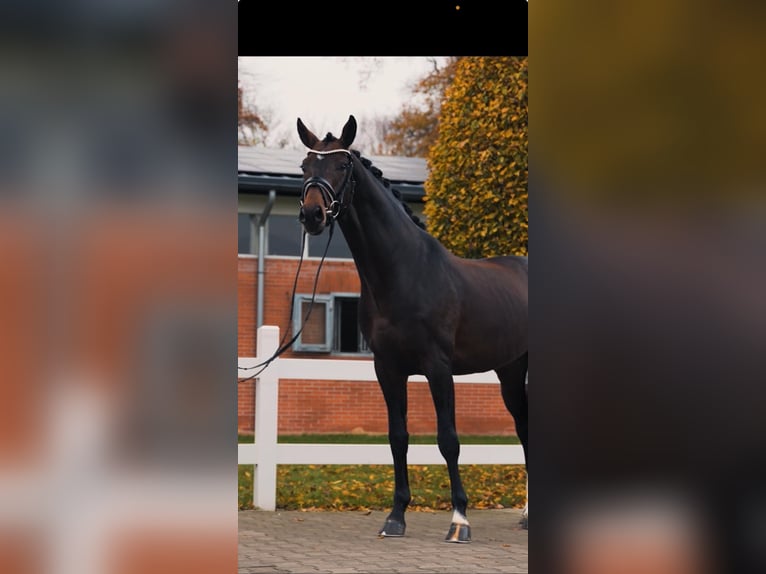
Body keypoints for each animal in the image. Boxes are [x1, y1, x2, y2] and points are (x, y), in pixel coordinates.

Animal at [296, 115, 528, 542]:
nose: (313, 216)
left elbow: (448, 440)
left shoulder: (438, 368)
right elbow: (397, 437)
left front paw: (459, 520)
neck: (404, 273)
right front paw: (396, 516)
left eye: (342, 165)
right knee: (523, 426)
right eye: (305, 166)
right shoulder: (388, 369)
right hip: (509, 369)